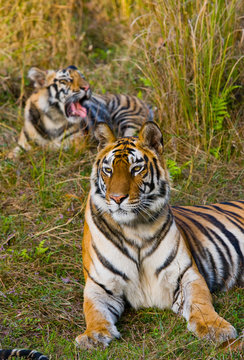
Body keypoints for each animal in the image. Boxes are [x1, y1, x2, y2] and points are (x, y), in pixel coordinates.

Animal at [8, 66, 153, 159]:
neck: (52, 119)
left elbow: (52, 148)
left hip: (127, 118)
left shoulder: (75, 145)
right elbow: (10, 156)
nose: (87, 87)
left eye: (82, 77)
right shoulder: (22, 145)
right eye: (65, 80)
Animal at [77, 121, 244, 348]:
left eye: (136, 169)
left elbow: (201, 303)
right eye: (108, 170)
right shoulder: (100, 285)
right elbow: (93, 311)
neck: (134, 229)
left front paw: (216, 328)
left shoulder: (185, 274)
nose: (117, 198)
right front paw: (93, 336)